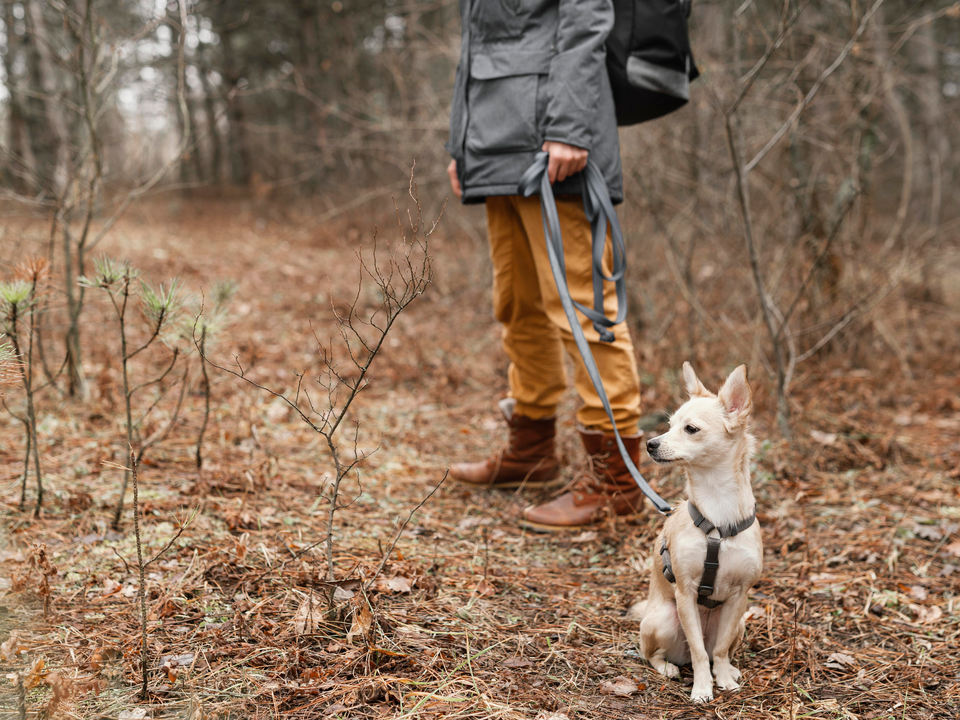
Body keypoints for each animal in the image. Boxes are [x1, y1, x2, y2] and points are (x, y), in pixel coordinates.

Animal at [624, 362, 764, 700]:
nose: (650, 443)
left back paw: (729, 669)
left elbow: (720, 649)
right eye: (669, 425)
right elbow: (700, 652)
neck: (718, 515)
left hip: (740, 623)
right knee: (655, 654)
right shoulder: (685, 592)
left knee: (720, 649)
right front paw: (702, 688)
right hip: (665, 620)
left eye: (690, 429)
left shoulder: (739, 596)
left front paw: (723, 679)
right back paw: (668, 668)